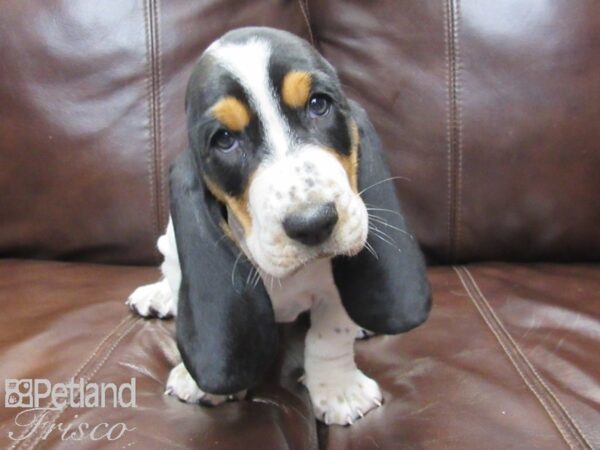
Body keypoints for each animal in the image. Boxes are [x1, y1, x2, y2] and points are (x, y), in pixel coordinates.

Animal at [126, 25, 428, 426]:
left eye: (319, 104)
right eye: (224, 140)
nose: (313, 224)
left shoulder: (333, 293)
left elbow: (329, 336)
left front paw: (340, 390)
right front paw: (198, 383)